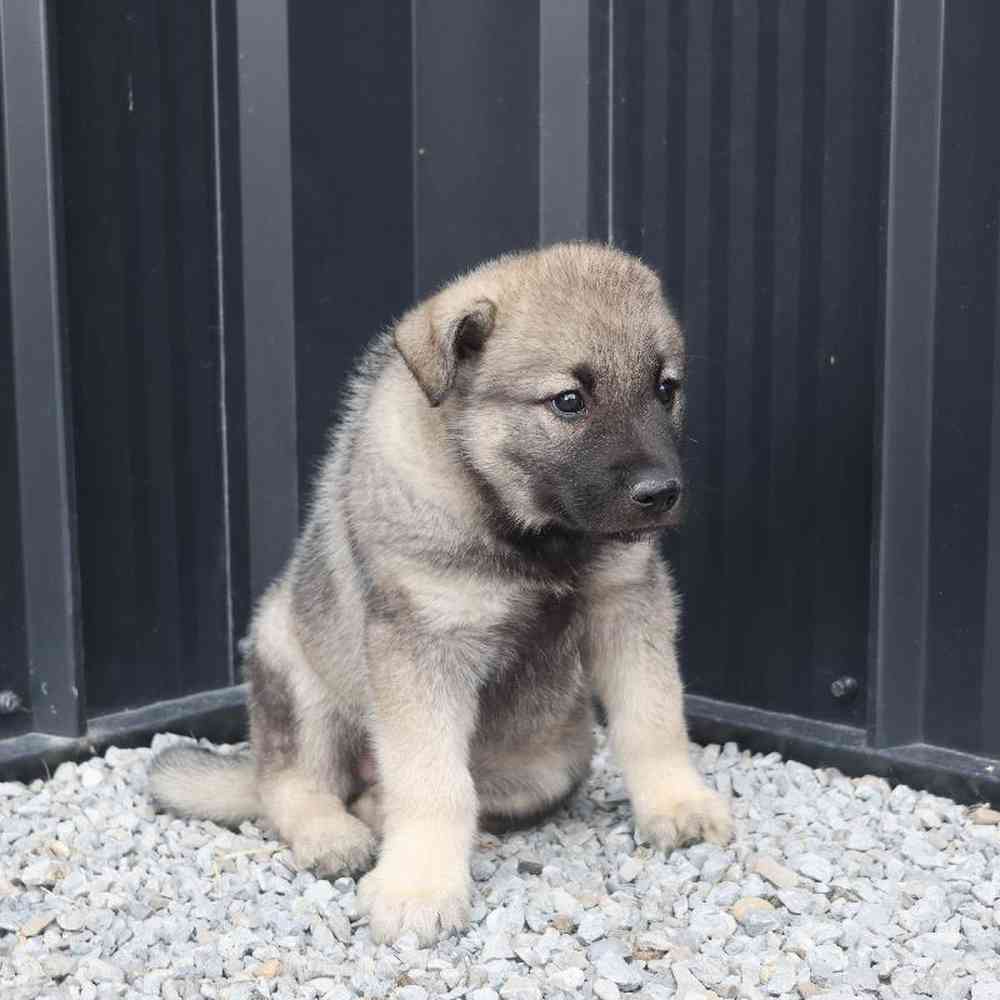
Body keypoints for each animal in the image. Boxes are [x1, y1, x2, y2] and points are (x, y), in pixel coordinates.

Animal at [154, 244, 736, 944]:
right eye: (569, 401)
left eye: (665, 388)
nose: (662, 493)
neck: (526, 531)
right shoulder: (422, 645)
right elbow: (432, 779)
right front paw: (420, 888)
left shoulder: (627, 604)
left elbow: (654, 718)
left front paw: (677, 803)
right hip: (290, 663)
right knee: (288, 782)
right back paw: (333, 833)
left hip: (558, 751)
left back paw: (374, 805)